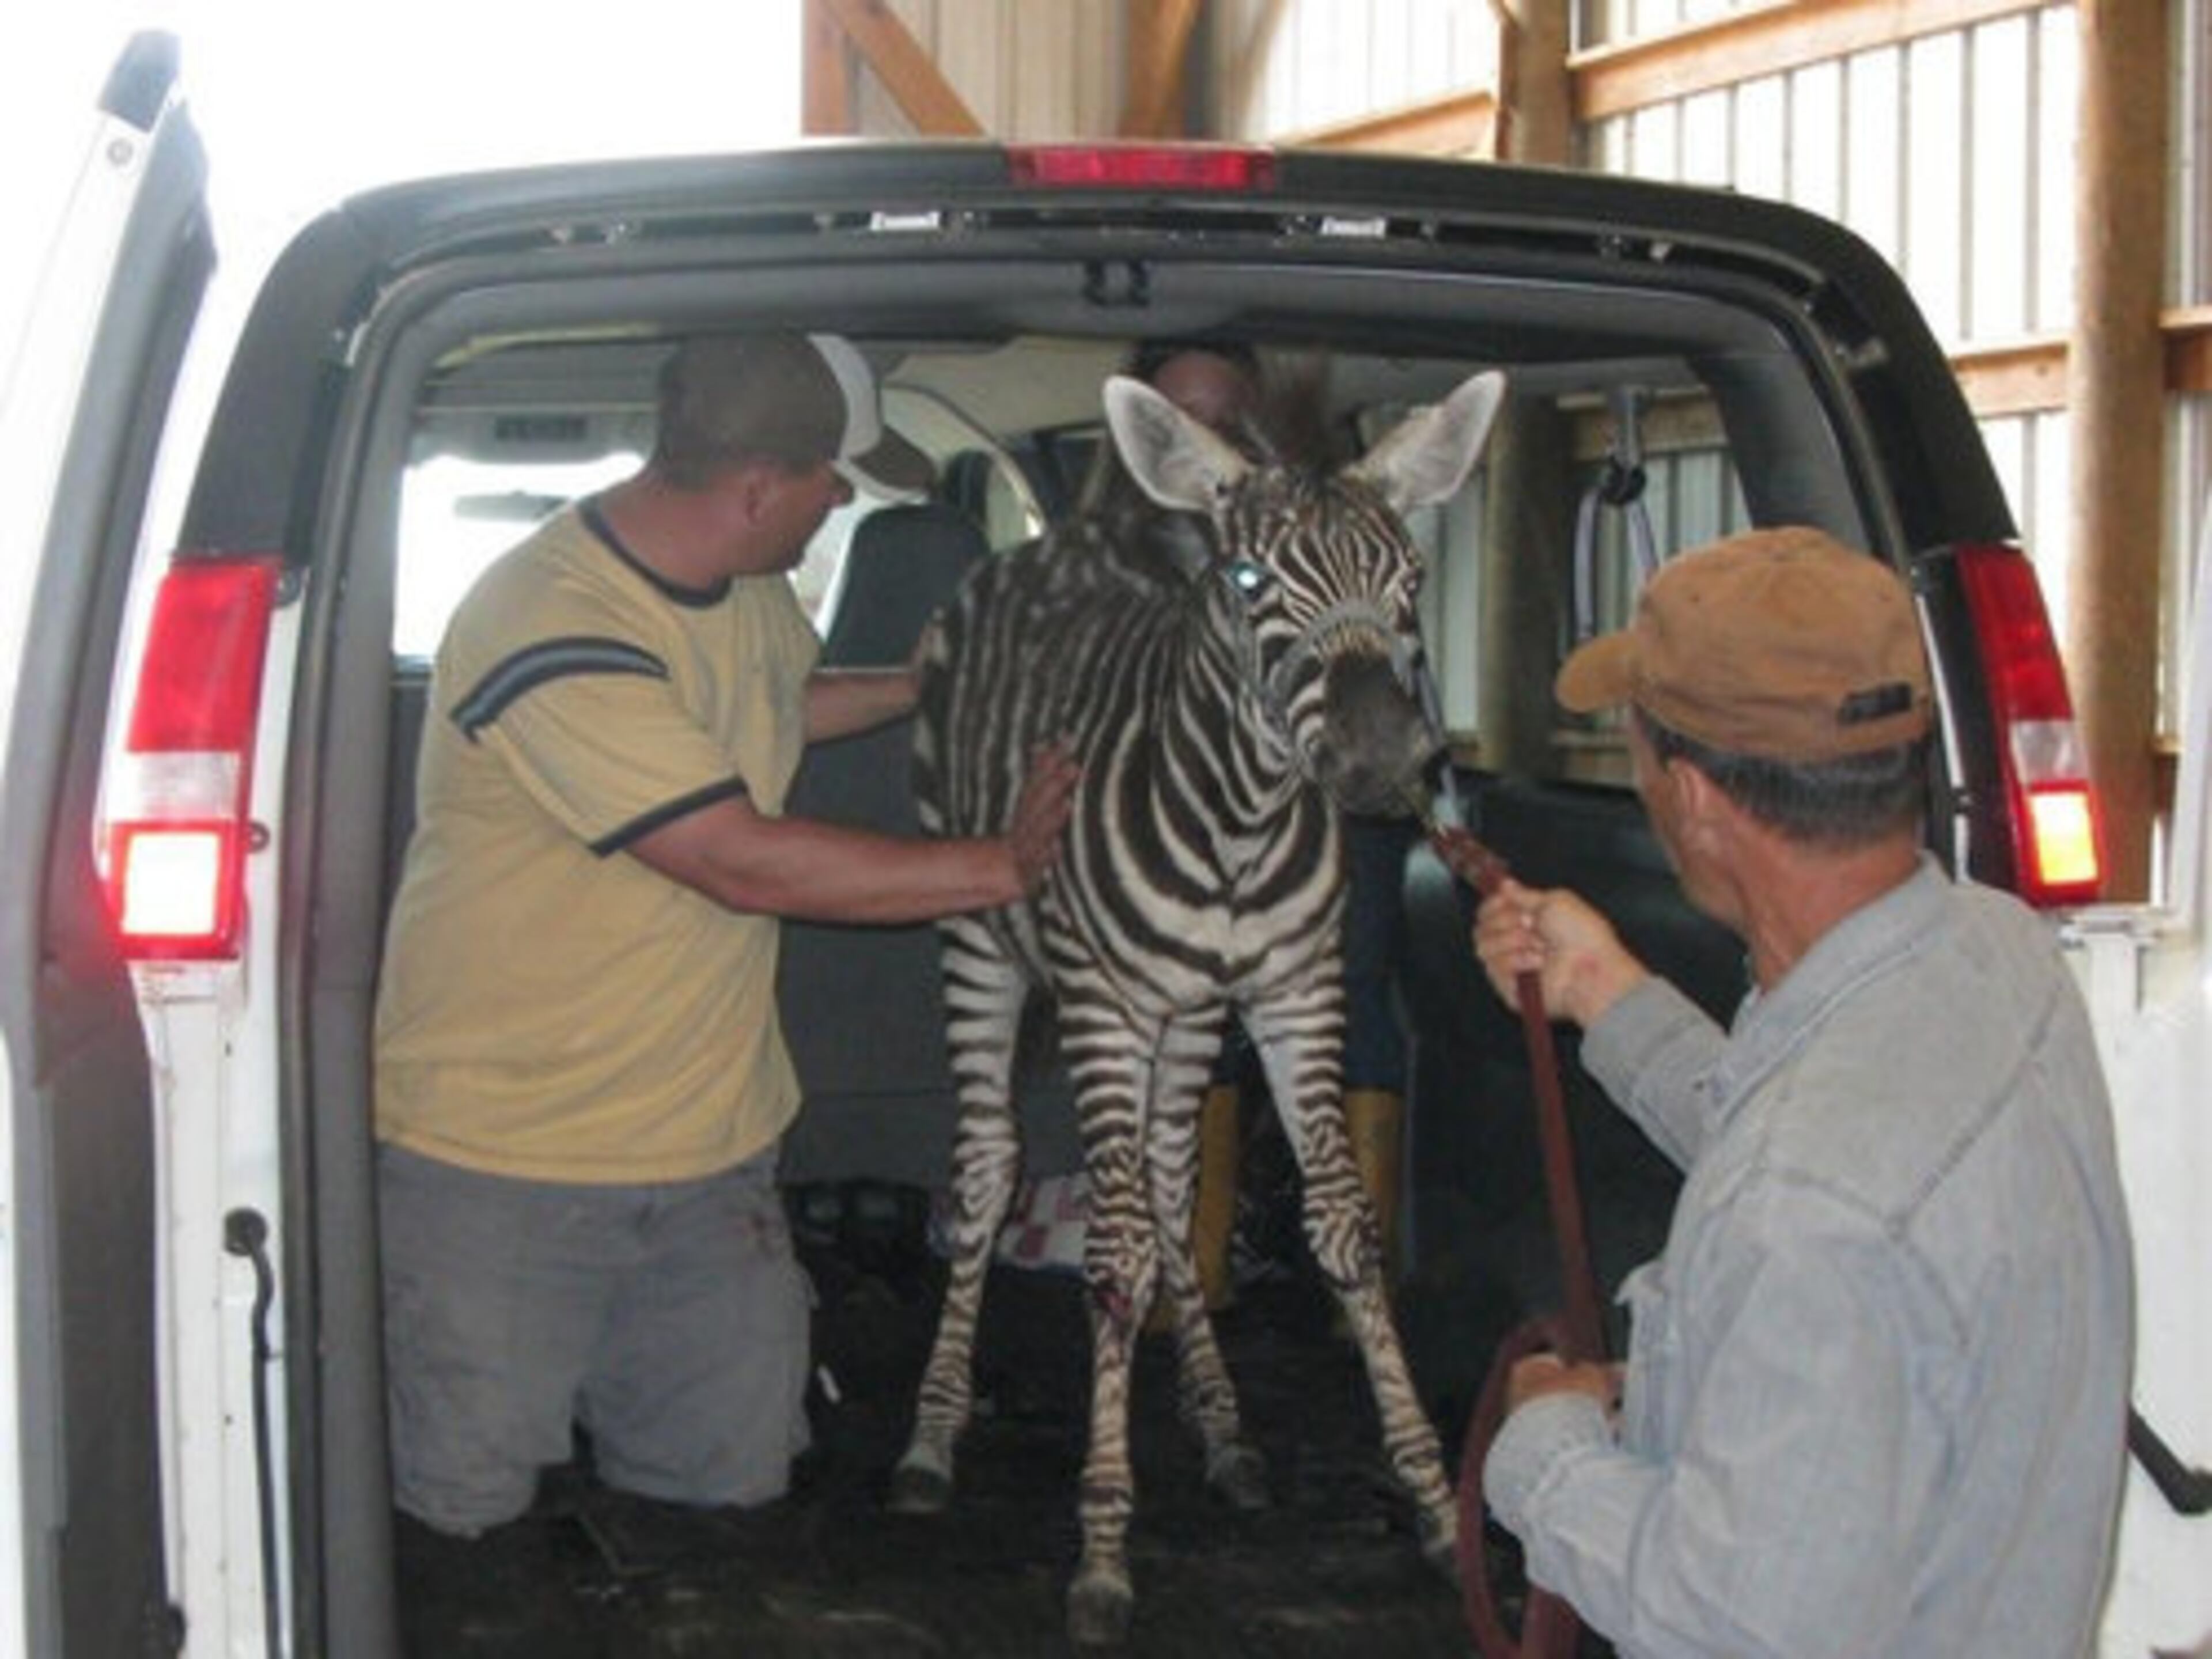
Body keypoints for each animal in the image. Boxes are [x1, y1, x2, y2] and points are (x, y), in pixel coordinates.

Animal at [893, 365, 1507, 1646]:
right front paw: (1102, 1545)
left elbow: (1342, 1231)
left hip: (1186, 1019)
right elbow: (1115, 1254)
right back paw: (931, 1435)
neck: (1241, 822)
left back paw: (1223, 1428)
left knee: (1176, 1182)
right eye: (1249, 583)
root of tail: (1053, 542)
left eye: (1410, 580)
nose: (1389, 762)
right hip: (983, 944)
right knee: (988, 1168)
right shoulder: (1104, 1007)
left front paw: (1434, 1502)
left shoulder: (1296, 996)